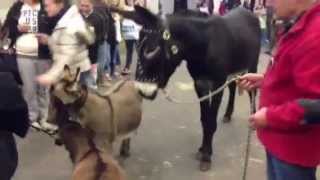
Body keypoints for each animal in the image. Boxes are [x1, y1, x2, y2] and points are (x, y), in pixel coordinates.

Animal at [115, 5, 260, 172]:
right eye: (137, 48)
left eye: (152, 50)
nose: (142, 91)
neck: (204, 46)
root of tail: (247, 10)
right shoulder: (199, 84)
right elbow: (204, 119)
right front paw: (202, 149)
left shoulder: (217, 84)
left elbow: (211, 121)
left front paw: (207, 157)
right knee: (233, 87)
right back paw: (228, 114)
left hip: (252, 66)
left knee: (252, 91)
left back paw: (254, 116)